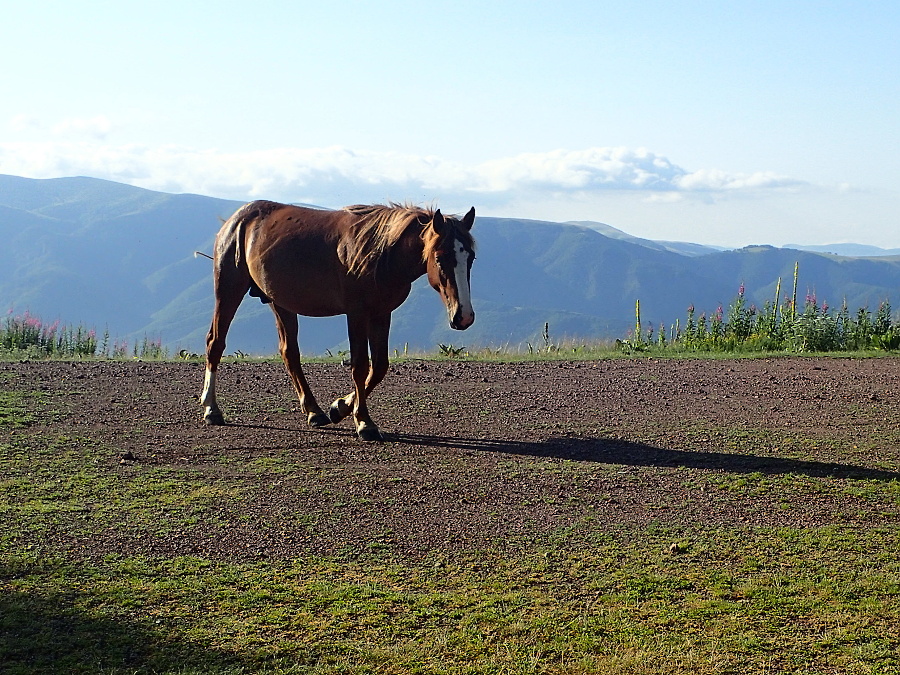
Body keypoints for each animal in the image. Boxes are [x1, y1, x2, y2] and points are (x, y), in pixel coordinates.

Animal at [199, 199, 478, 444]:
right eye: (440, 257)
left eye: (471, 257)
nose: (463, 316)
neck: (382, 253)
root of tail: (236, 220)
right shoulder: (356, 314)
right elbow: (360, 366)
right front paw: (364, 422)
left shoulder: (381, 313)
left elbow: (379, 367)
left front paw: (340, 407)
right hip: (229, 290)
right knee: (215, 343)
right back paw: (211, 409)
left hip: (281, 304)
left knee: (290, 353)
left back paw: (314, 411)